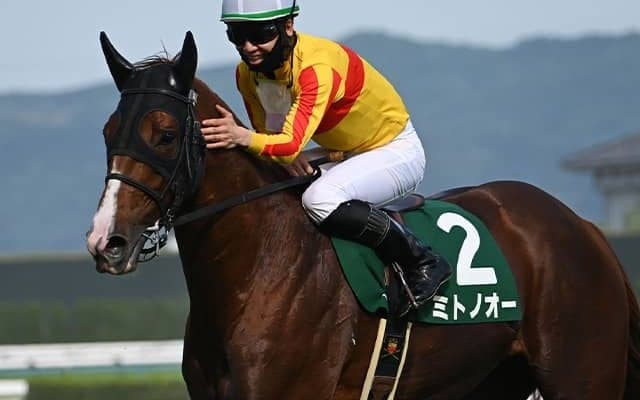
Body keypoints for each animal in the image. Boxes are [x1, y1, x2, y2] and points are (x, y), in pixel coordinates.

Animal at [86, 31, 640, 400]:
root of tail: (585, 229)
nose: (106, 241)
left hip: (583, 376)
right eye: (109, 132)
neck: (260, 268)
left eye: (165, 134)